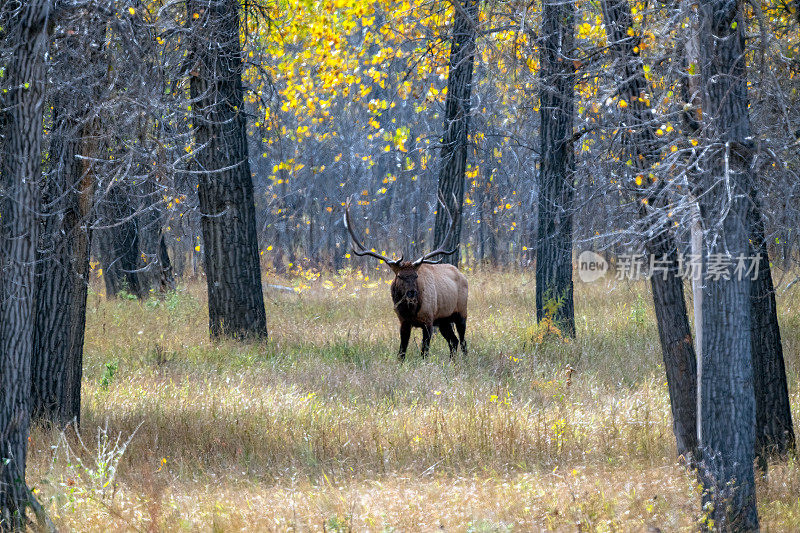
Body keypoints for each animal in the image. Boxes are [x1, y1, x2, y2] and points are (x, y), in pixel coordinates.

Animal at [344, 197, 468, 360]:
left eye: (416, 275)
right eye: (400, 276)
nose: (411, 294)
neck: (411, 311)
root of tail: (462, 275)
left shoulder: (428, 320)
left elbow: (424, 352)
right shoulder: (403, 322)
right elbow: (401, 352)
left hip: (461, 312)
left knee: (463, 341)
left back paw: (465, 360)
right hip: (443, 320)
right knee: (453, 341)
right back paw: (451, 362)